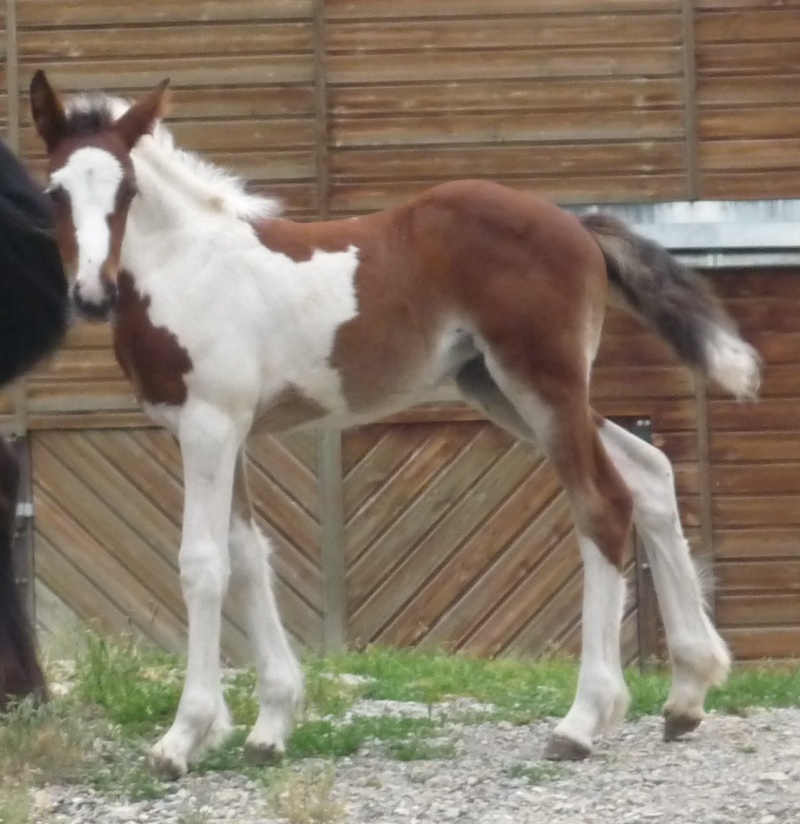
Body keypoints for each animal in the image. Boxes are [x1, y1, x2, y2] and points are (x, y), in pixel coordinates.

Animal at [29, 72, 756, 780]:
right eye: (55, 191)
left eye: (125, 190)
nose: (91, 296)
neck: (190, 267)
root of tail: (577, 226)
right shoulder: (225, 431)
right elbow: (250, 556)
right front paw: (270, 727)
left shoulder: (209, 424)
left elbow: (203, 564)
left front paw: (182, 738)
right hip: (504, 391)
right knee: (651, 474)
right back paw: (687, 693)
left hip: (541, 384)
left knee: (603, 501)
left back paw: (581, 721)